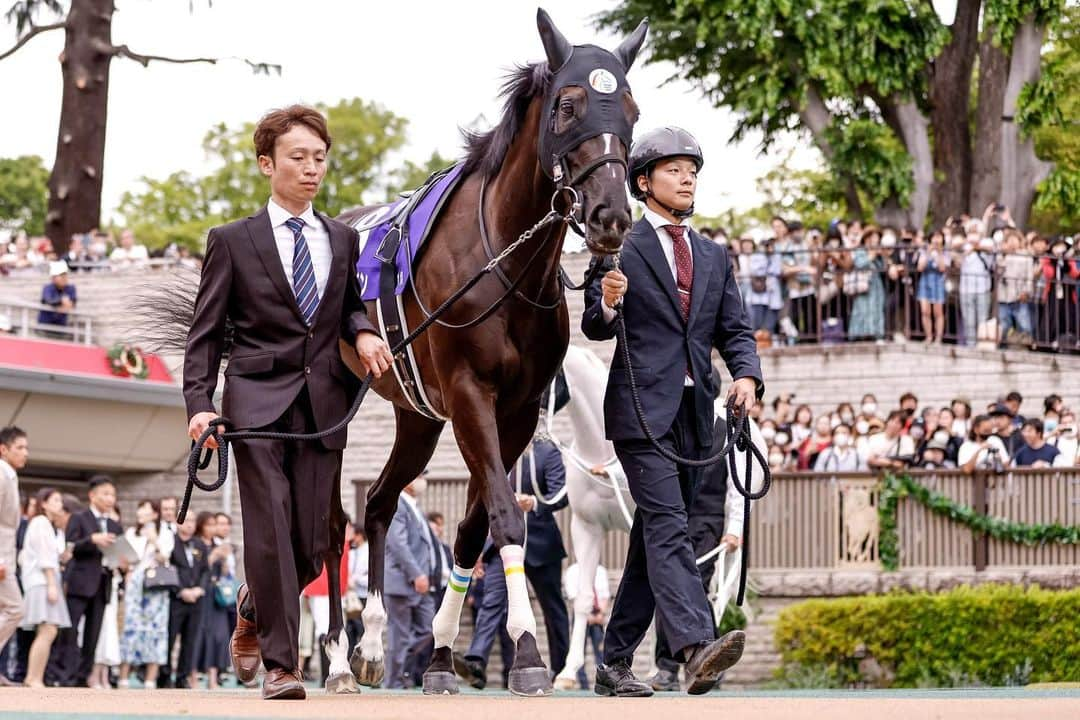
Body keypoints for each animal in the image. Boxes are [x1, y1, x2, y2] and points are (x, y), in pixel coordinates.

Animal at [317, 9, 639, 699]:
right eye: (568, 105)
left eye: (630, 108)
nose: (611, 215)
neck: (503, 262)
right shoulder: (470, 393)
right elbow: (506, 518)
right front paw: (527, 651)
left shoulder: (514, 409)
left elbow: (474, 526)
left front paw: (440, 654)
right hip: (327, 411)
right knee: (329, 524)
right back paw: (333, 658)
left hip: (414, 415)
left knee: (379, 502)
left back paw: (373, 645)